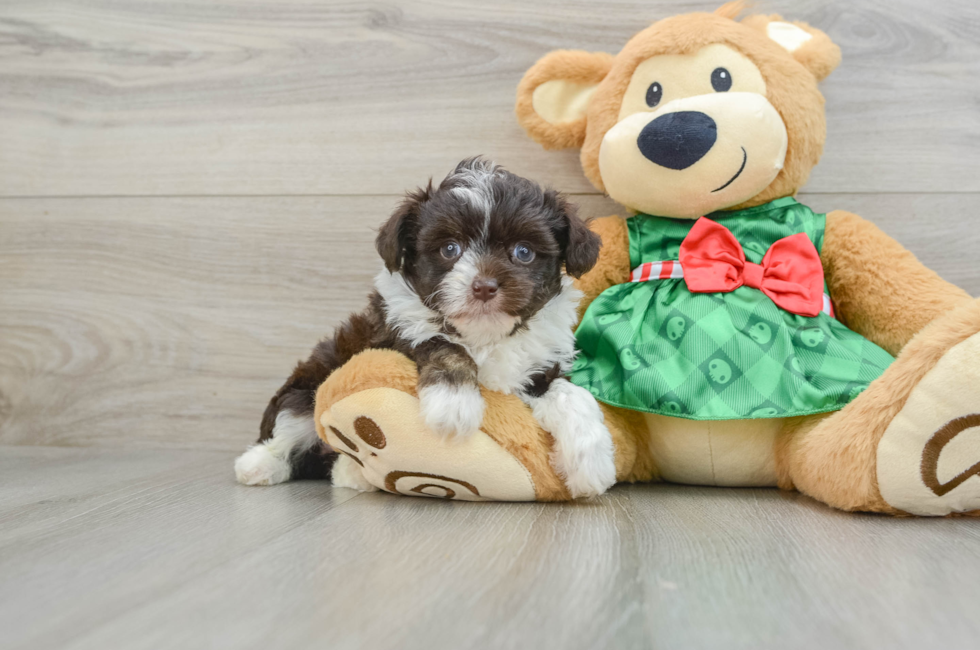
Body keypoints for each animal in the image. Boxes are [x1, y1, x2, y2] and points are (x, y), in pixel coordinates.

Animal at [236, 157, 616, 496]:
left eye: (524, 252)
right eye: (450, 249)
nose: (484, 286)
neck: (484, 335)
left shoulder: (540, 366)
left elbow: (572, 394)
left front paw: (592, 463)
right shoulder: (392, 332)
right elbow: (442, 344)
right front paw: (454, 403)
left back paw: (351, 473)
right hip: (308, 385)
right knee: (291, 430)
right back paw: (259, 464)